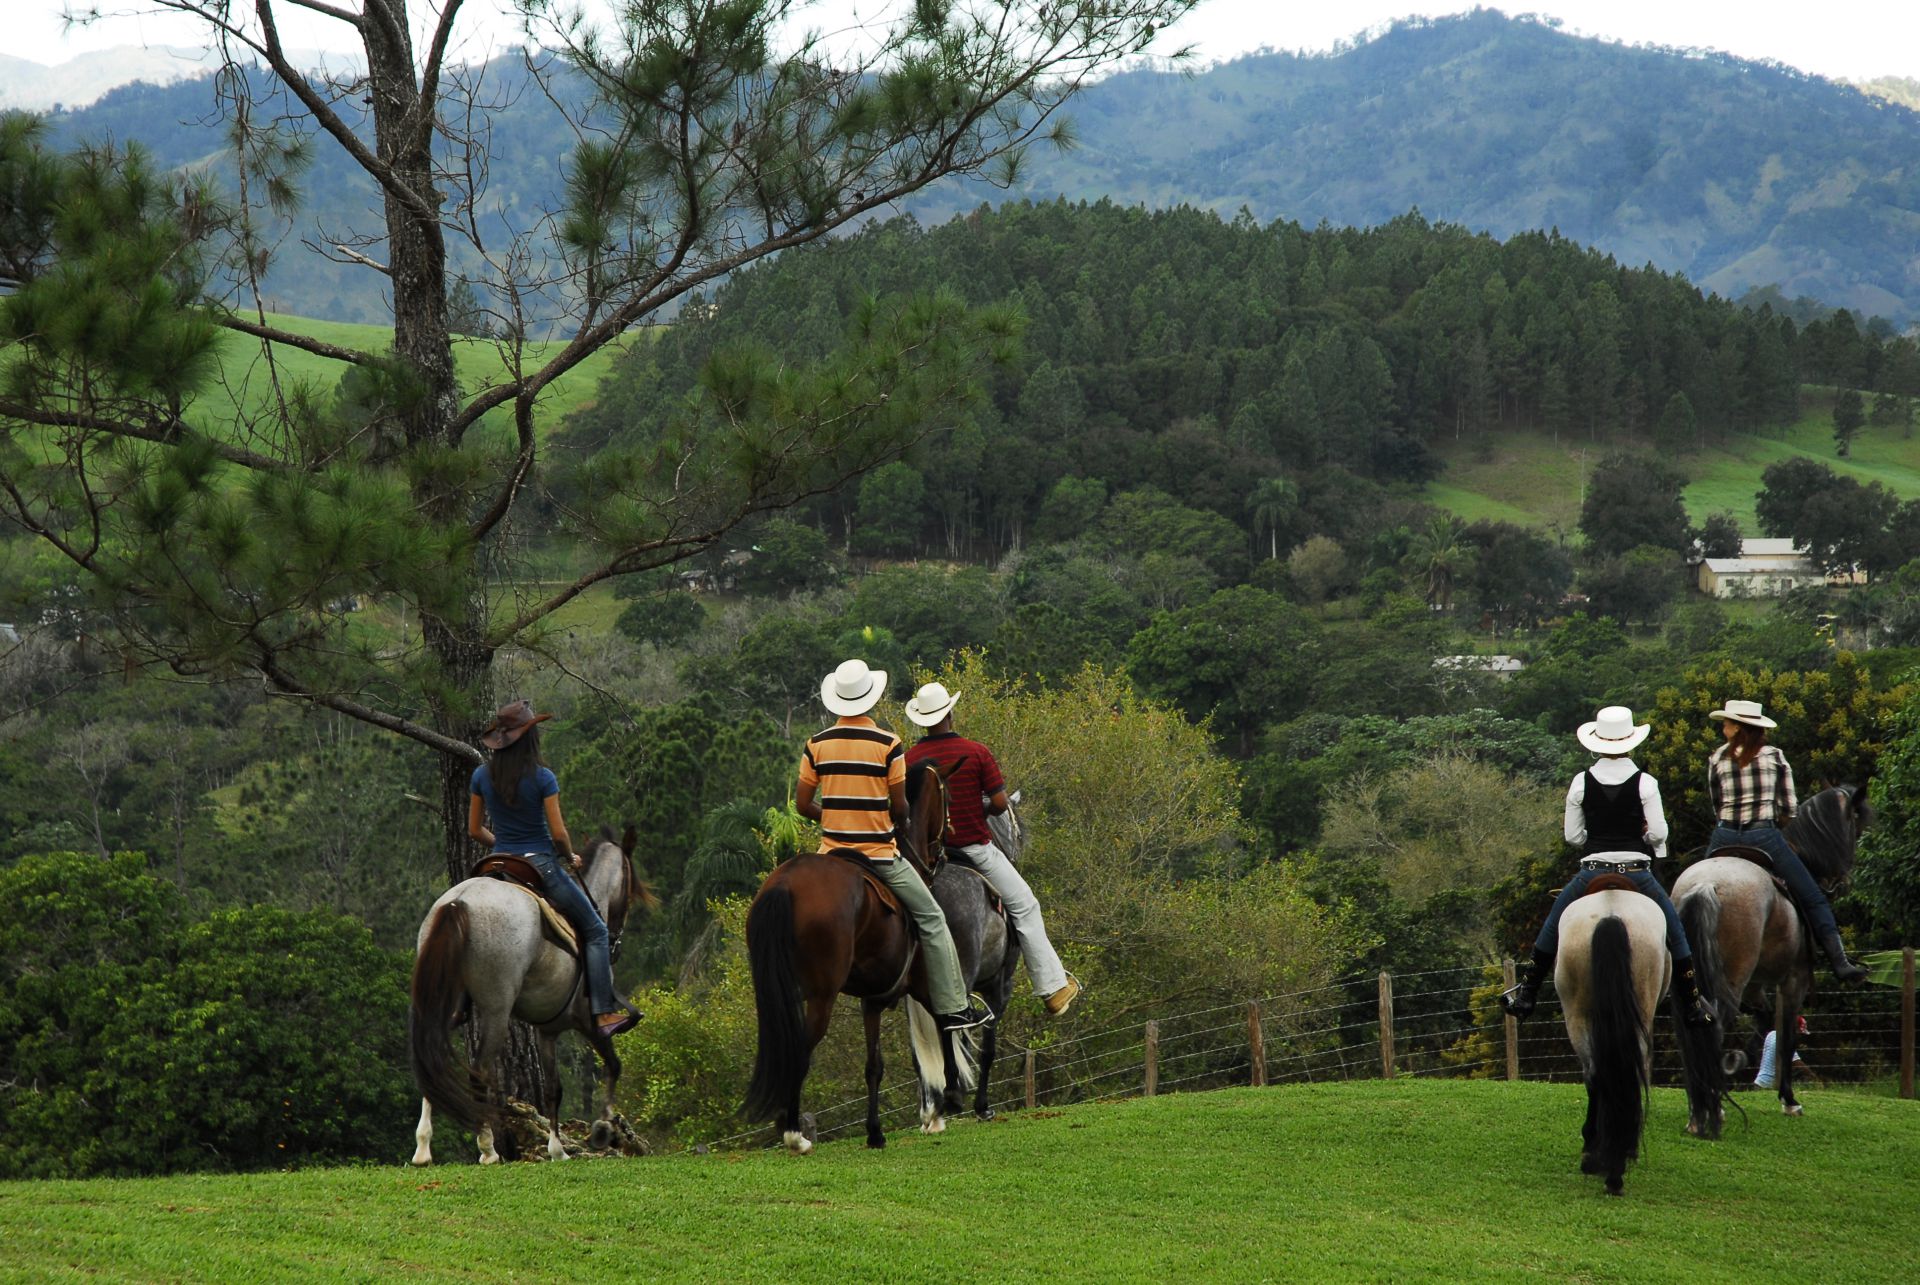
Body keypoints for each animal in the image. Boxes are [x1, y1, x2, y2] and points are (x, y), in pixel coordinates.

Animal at [405, 825, 645, 1167]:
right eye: (630, 888)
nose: (615, 942)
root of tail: (459, 903)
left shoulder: (547, 1031)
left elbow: (553, 1089)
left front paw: (557, 1149)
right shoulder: (590, 1022)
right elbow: (613, 1066)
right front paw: (603, 1127)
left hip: (442, 1002)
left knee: (430, 1055)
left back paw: (423, 1148)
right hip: (496, 1010)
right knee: (479, 1071)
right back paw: (488, 1149)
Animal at [737, 760, 975, 1152]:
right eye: (949, 798)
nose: (942, 854)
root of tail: (786, 883)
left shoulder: (872, 1000)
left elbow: (873, 1065)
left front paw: (875, 1131)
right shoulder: (922, 980)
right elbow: (944, 1020)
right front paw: (951, 1096)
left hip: (778, 990)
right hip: (822, 994)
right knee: (799, 1050)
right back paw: (793, 1134)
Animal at [1674, 783, 1866, 1129]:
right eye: (1854, 823)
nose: (1843, 880)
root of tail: (1705, 884)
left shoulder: (1755, 986)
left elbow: (1764, 1020)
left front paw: (1741, 1059)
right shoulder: (1793, 981)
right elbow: (1787, 1035)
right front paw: (1789, 1100)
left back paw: (1699, 1108)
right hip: (1732, 981)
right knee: (1715, 1025)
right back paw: (1711, 1109)